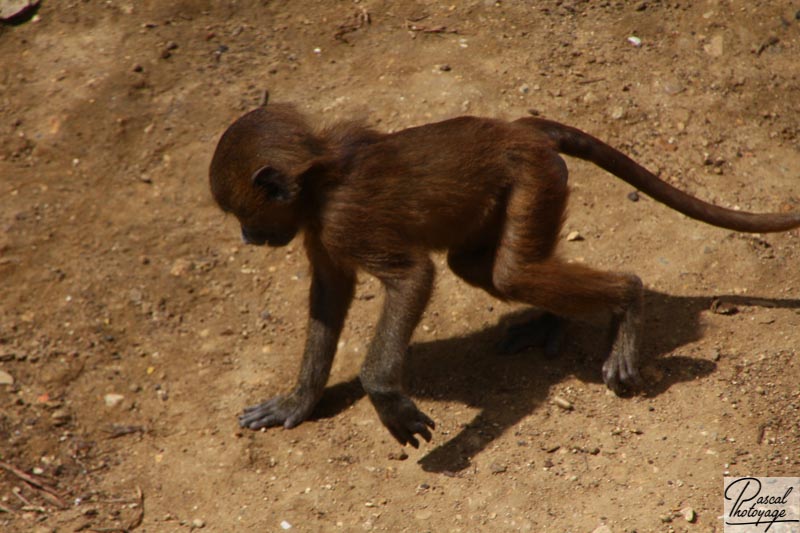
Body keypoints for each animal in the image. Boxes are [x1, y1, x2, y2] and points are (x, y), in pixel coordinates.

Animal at [208, 103, 800, 444]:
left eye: (240, 215)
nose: (246, 238)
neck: (319, 178)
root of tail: (519, 130)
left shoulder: (346, 222)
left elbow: (413, 277)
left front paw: (388, 399)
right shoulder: (323, 234)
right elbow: (331, 295)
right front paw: (299, 402)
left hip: (534, 177)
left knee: (513, 274)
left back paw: (625, 304)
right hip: (528, 185)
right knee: (484, 269)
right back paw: (557, 323)